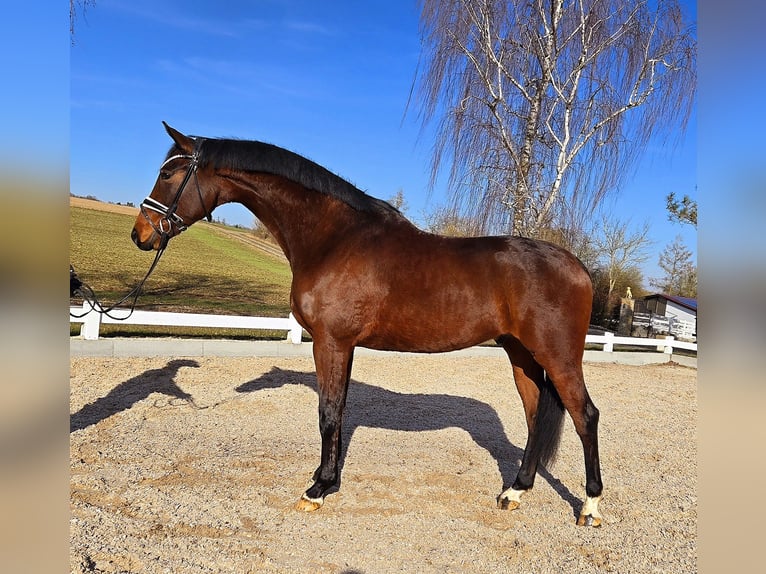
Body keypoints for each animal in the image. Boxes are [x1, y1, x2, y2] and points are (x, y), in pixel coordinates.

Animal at [132, 124, 608, 528]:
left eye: (169, 173)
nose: (141, 234)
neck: (334, 238)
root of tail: (579, 267)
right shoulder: (343, 345)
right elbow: (339, 409)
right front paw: (327, 476)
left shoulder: (331, 342)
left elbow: (327, 413)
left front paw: (318, 489)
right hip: (520, 354)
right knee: (535, 417)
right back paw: (515, 492)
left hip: (558, 356)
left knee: (585, 416)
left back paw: (590, 507)